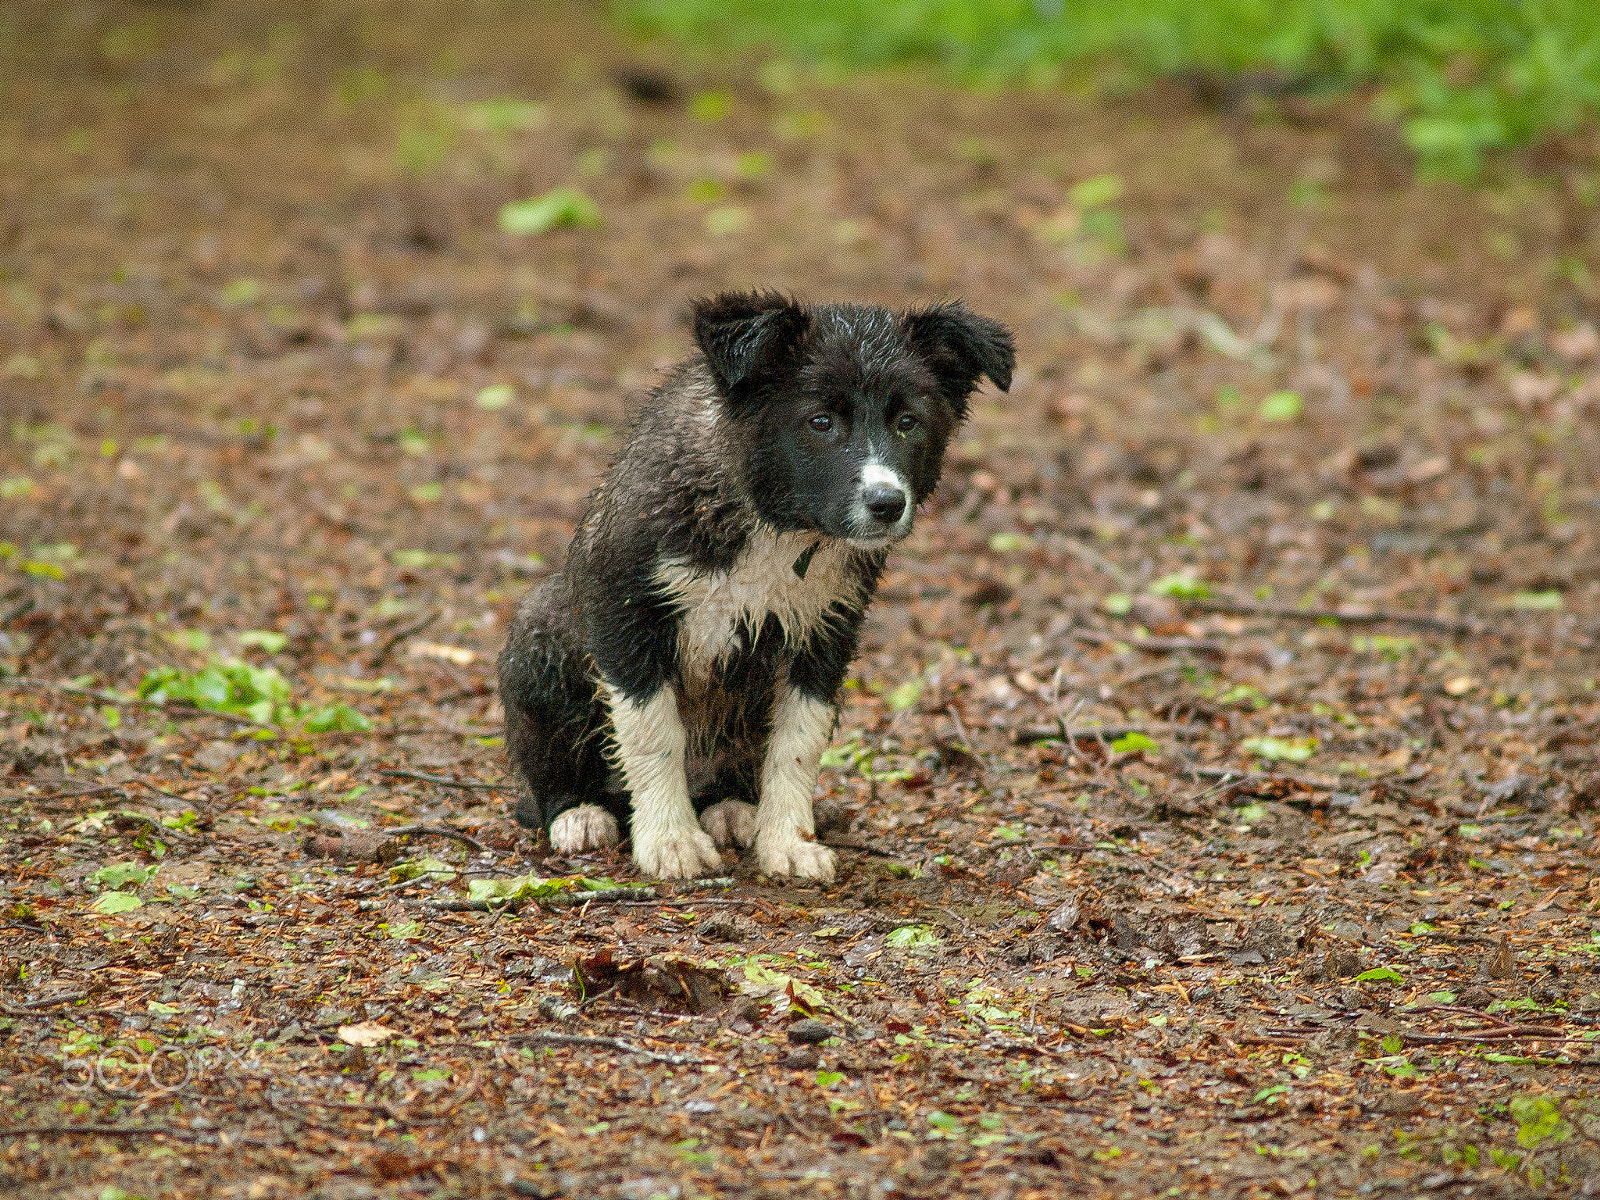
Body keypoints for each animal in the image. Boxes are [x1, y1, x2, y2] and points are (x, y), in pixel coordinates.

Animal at [492, 286, 1011, 876]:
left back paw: (731, 807)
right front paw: (670, 841)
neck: (773, 524)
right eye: (820, 421)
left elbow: (799, 743)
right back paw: (578, 812)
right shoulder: (622, 610)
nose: (887, 504)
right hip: (539, 637)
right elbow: (654, 733)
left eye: (908, 421)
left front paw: (787, 842)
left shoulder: (826, 631)